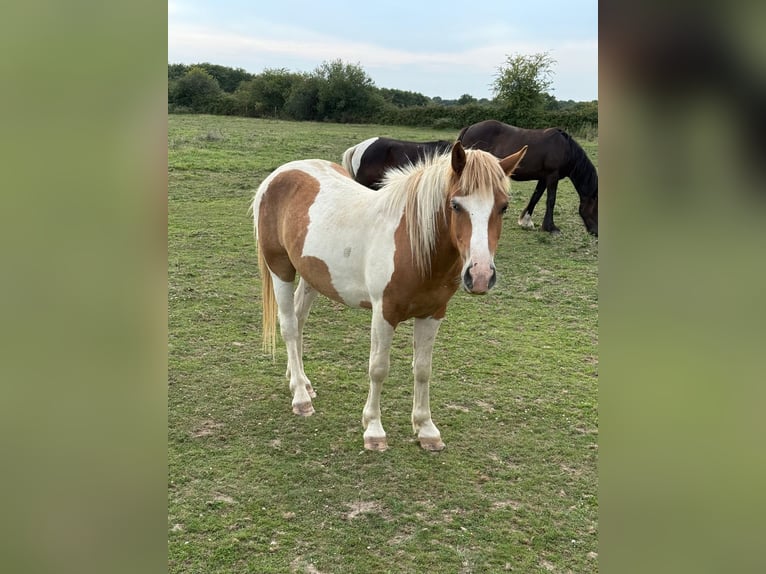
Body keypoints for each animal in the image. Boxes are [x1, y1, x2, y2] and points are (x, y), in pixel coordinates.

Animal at [252, 142, 527, 451]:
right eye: (456, 205)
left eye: (503, 207)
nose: (480, 276)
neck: (413, 246)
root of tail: (279, 174)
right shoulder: (384, 313)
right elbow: (378, 368)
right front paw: (373, 430)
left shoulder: (433, 314)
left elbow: (423, 369)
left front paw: (426, 429)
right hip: (280, 268)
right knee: (288, 326)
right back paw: (300, 396)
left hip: (312, 275)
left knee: (299, 321)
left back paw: (300, 381)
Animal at [457, 120, 598, 236]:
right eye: (596, 207)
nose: (596, 232)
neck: (566, 149)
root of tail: (469, 128)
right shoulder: (553, 175)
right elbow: (551, 200)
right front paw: (551, 228)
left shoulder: (544, 178)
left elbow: (536, 197)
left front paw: (526, 221)